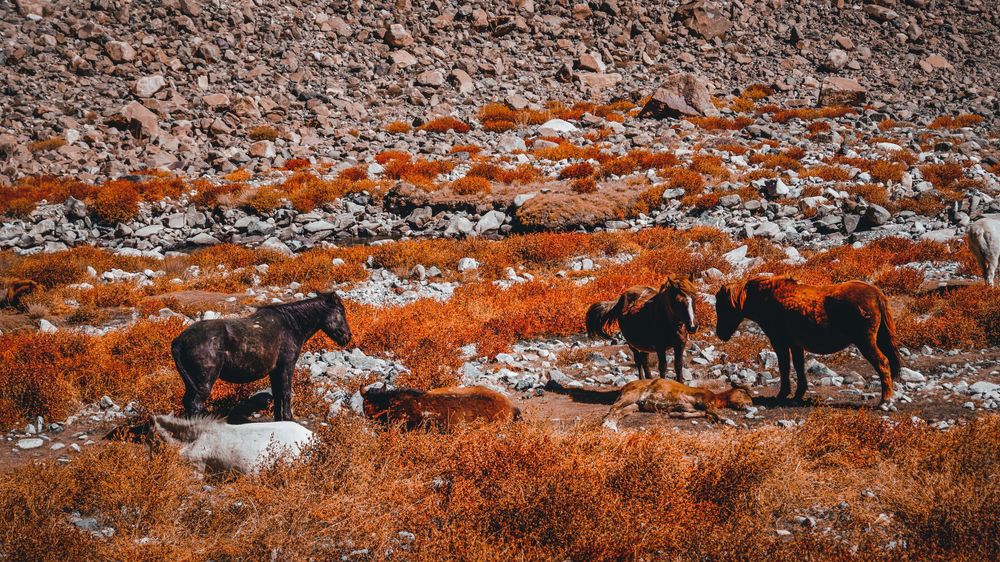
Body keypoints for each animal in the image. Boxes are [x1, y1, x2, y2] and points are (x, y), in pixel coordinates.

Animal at [171, 292, 351, 421]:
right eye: (341, 311)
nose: (347, 337)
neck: (291, 325)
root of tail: (178, 341)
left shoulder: (275, 371)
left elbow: (278, 394)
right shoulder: (287, 366)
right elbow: (286, 393)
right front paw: (289, 418)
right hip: (204, 382)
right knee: (195, 405)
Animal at [715, 275, 901, 408]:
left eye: (722, 307)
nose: (720, 334)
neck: (767, 298)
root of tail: (877, 294)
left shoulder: (779, 341)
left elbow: (784, 366)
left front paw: (783, 394)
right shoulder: (795, 344)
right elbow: (798, 366)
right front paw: (798, 395)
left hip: (866, 342)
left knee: (883, 363)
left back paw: (885, 400)